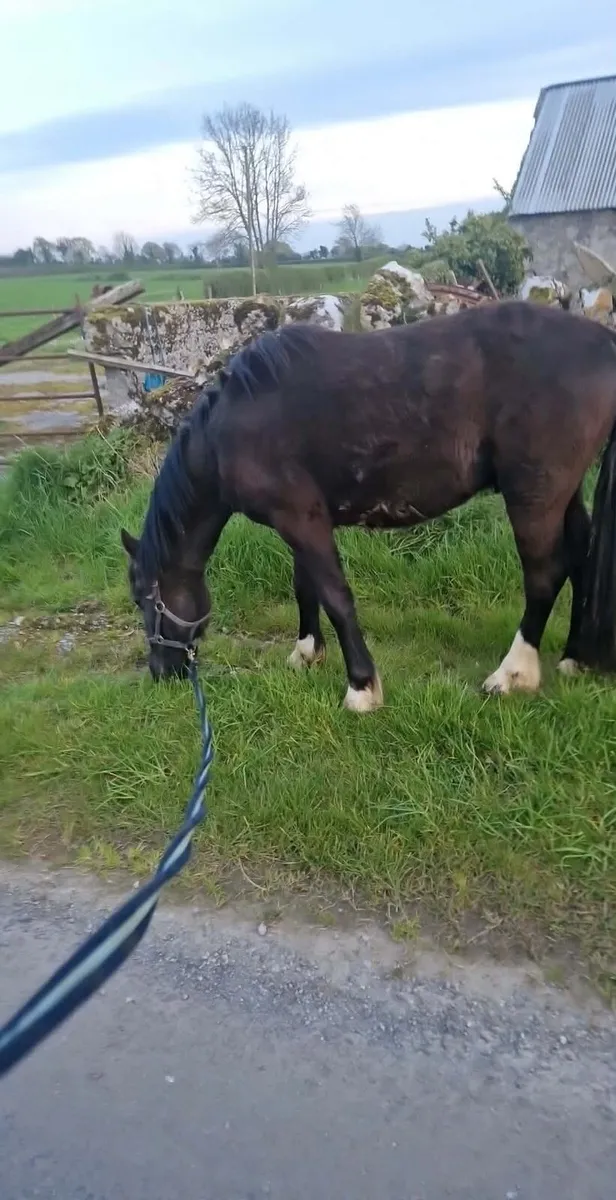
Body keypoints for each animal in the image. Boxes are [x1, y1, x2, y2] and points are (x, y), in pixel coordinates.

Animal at [121, 300, 616, 712]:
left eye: (143, 597)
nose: (161, 671)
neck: (232, 427)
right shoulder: (302, 520)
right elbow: (306, 587)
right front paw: (306, 653)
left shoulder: (300, 519)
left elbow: (336, 597)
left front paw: (361, 688)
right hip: (563, 493)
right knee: (581, 555)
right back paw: (574, 658)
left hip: (534, 496)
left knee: (544, 575)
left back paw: (513, 674)